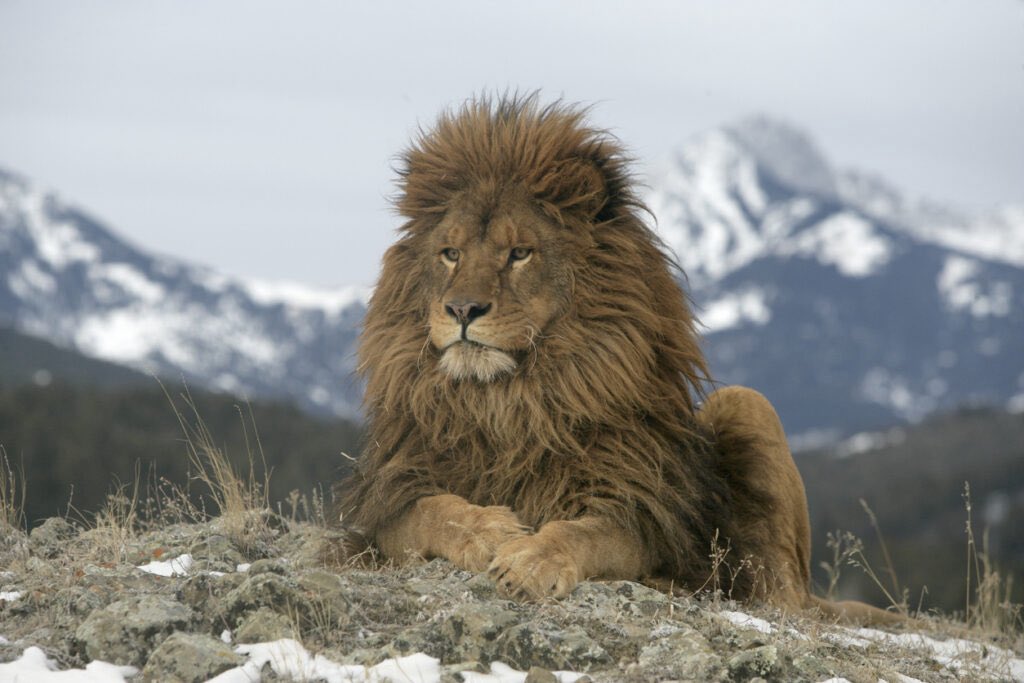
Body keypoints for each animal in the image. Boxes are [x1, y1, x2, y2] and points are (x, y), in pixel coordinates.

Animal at [333, 95, 899, 624]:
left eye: (520, 254)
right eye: (450, 254)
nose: (462, 309)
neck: (508, 402)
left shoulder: (641, 511)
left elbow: (583, 533)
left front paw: (532, 560)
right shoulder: (389, 503)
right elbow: (434, 510)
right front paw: (490, 531)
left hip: (746, 407)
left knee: (780, 599)